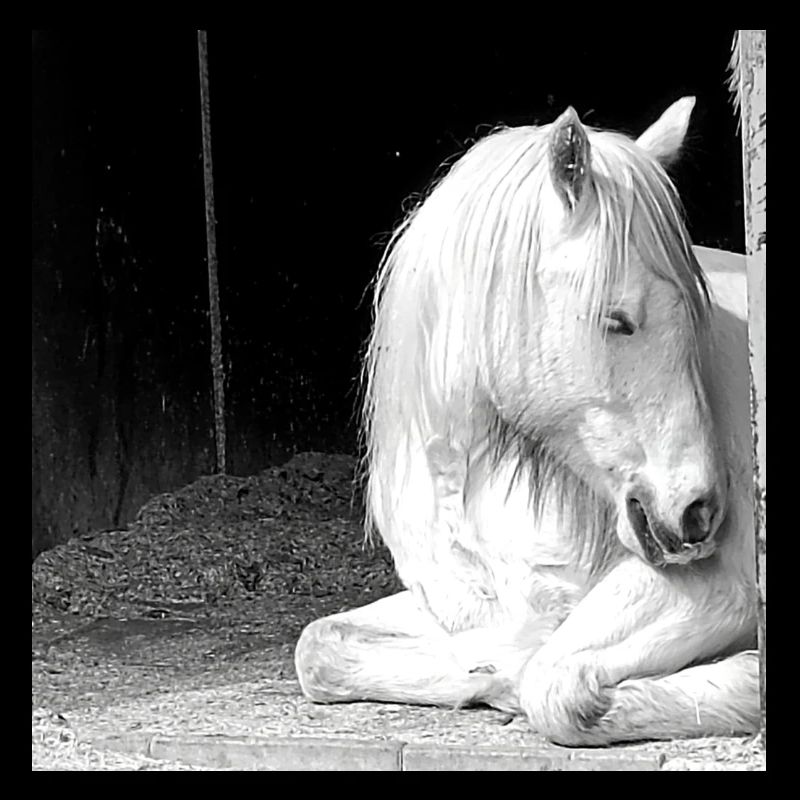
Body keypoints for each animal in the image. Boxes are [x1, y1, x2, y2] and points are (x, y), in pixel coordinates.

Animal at [294, 97, 760, 746]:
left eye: (698, 316)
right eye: (618, 320)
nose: (699, 512)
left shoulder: (721, 590)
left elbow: (554, 685)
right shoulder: (465, 609)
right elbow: (319, 646)